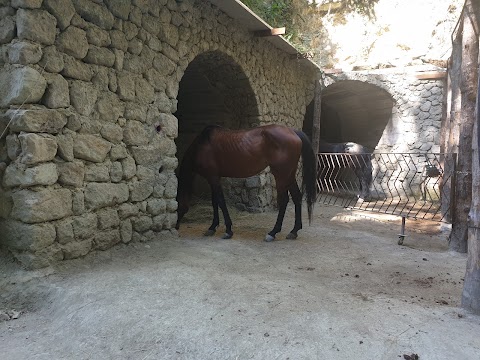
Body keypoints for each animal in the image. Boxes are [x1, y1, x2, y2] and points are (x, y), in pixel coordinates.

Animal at [174, 124, 316, 242]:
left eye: (176, 205)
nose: (175, 226)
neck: (202, 145)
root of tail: (293, 131)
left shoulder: (213, 178)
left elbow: (220, 201)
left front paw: (228, 231)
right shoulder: (213, 179)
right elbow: (215, 202)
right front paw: (212, 227)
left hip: (281, 175)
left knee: (284, 200)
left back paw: (273, 233)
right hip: (289, 175)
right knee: (297, 197)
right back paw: (294, 231)